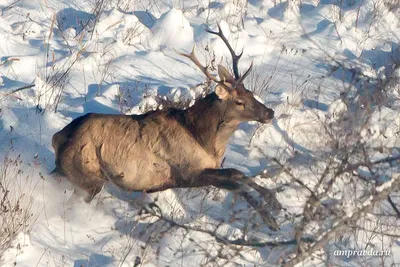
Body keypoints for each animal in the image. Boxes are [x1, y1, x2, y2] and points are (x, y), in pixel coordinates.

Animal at [51, 24, 282, 231]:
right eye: (239, 102)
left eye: (251, 93)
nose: (269, 113)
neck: (204, 140)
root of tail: (58, 138)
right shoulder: (187, 173)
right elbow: (235, 183)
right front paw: (270, 219)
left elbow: (237, 173)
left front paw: (275, 203)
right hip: (88, 177)